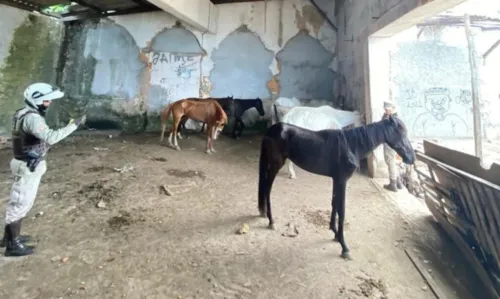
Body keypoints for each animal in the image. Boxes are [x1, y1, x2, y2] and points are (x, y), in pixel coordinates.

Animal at [258, 115, 414, 260]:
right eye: (401, 132)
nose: (411, 159)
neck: (351, 145)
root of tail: (271, 130)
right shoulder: (342, 180)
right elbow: (342, 210)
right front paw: (344, 247)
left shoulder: (336, 179)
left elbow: (334, 204)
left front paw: (334, 233)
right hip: (276, 165)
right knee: (267, 189)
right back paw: (271, 221)